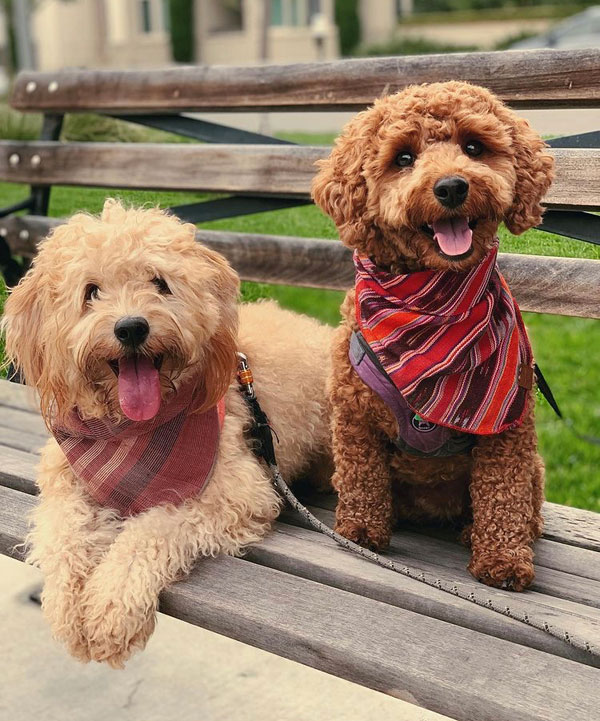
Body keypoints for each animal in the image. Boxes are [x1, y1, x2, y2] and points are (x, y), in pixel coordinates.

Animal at [1, 200, 332, 668]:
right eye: (91, 291)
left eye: (159, 282)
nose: (131, 328)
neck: (131, 431)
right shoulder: (64, 476)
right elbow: (63, 532)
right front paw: (66, 604)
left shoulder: (235, 493)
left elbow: (151, 531)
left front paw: (110, 604)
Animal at [312, 83, 556, 592]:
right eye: (403, 158)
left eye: (474, 147)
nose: (451, 187)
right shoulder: (354, 418)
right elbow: (361, 478)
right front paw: (360, 531)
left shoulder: (508, 431)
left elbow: (503, 494)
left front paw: (503, 560)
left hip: (534, 467)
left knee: (525, 504)